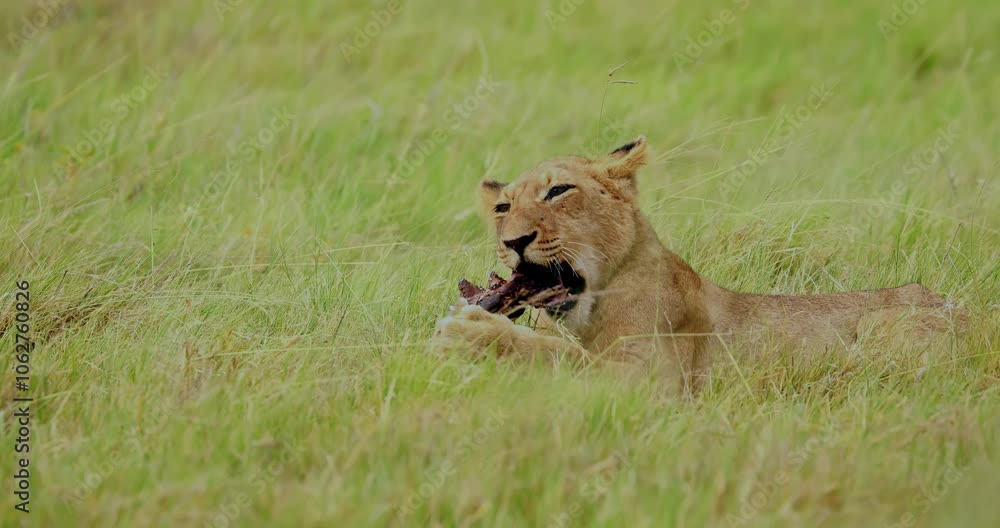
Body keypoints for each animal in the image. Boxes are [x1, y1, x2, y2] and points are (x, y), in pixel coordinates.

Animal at [435, 136, 962, 391]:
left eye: (559, 190)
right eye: (503, 207)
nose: (515, 241)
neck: (587, 310)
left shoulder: (656, 379)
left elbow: (565, 357)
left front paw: (470, 333)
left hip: (884, 326)